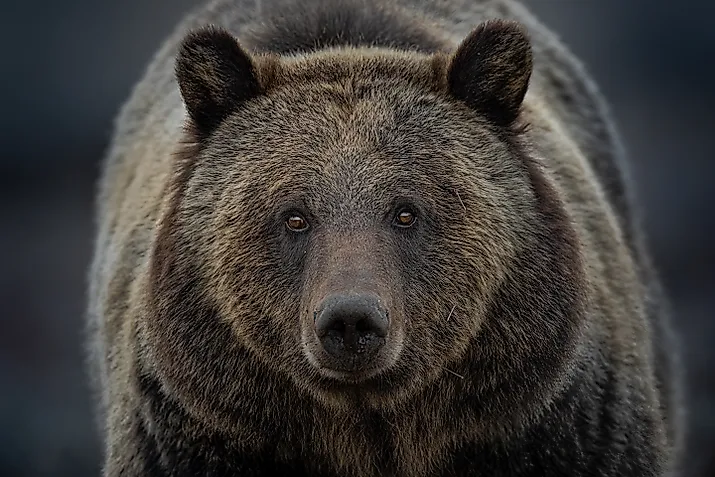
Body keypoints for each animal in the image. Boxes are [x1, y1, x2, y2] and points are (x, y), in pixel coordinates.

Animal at [86, 0, 684, 475]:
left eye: (405, 212)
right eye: (294, 216)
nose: (350, 320)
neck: (371, 424)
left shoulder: (553, 424)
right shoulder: (197, 428)